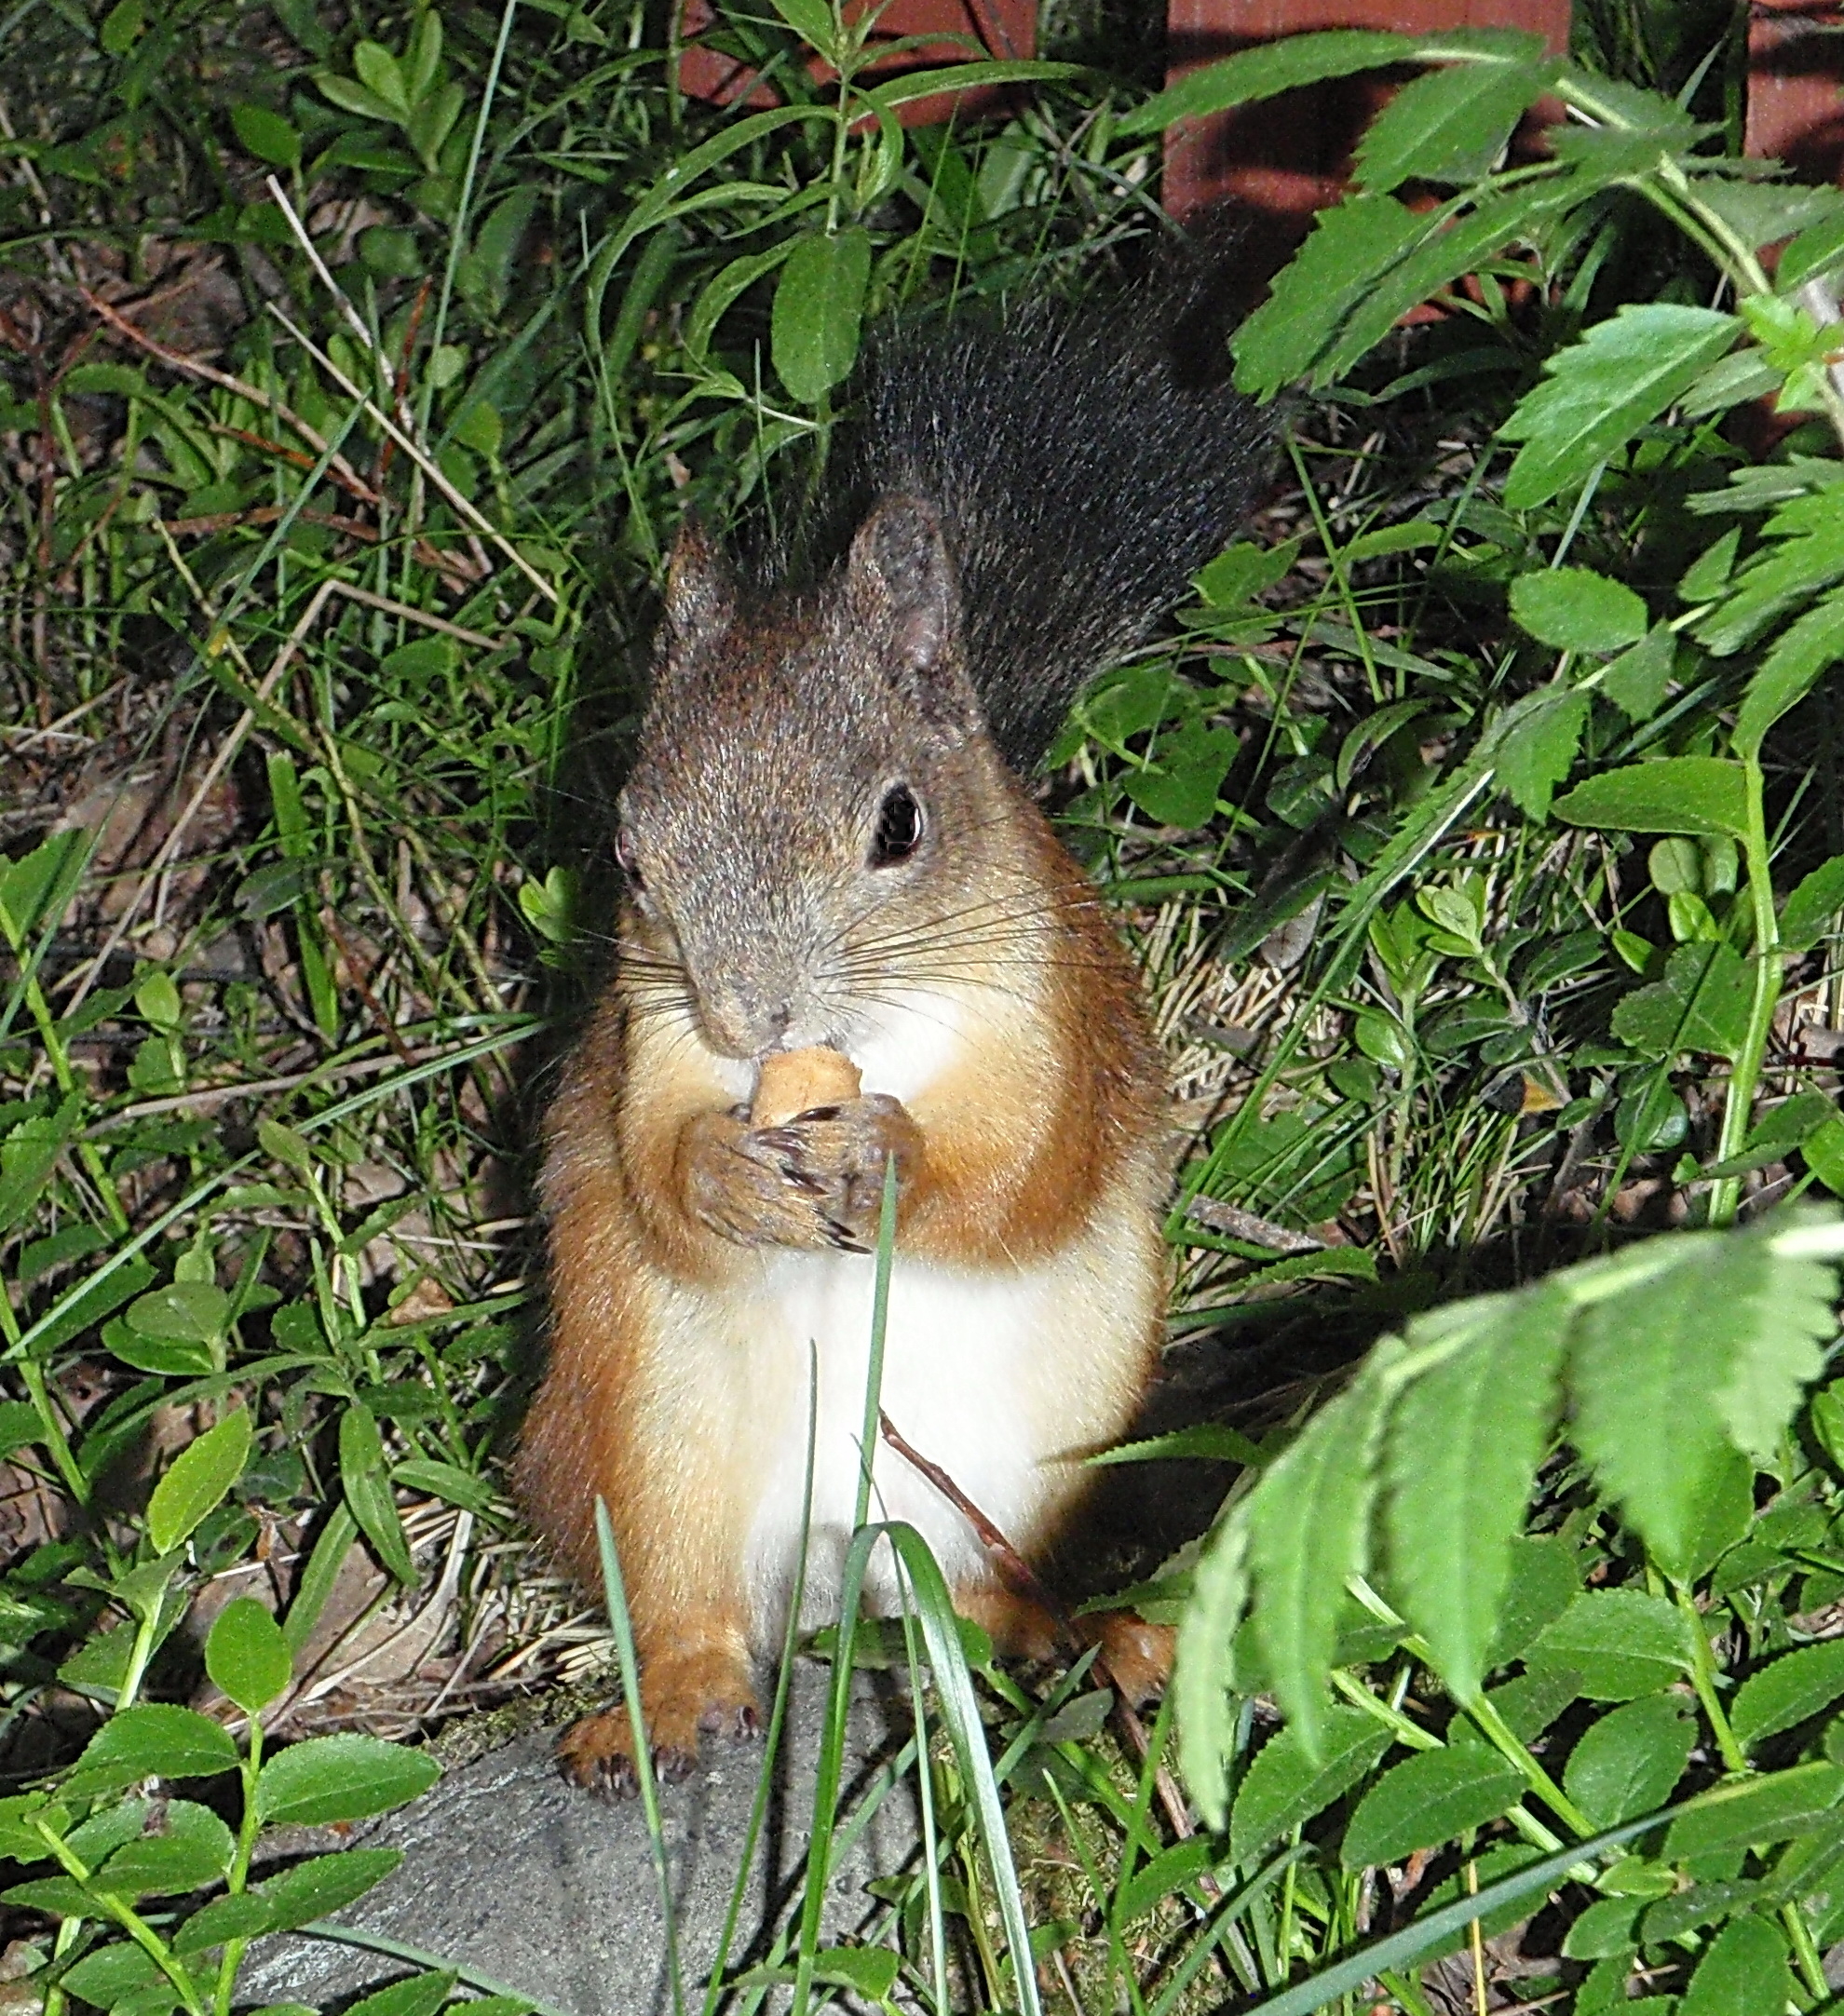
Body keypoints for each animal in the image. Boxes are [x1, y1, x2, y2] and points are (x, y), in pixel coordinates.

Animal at [511, 272, 1273, 1798]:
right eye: (628, 854)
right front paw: (723, 1175)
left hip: (1031, 1456)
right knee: (684, 1597)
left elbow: (1027, 1175)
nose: (750, 1012)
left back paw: (1063, 1634)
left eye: (901, 824)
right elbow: (650, 1175)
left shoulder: (1058, 1012)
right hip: (648, 1437)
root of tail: (836, 1572)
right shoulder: (645, 1040)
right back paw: (672, 1700)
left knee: (991, 1576)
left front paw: (891, 1163)